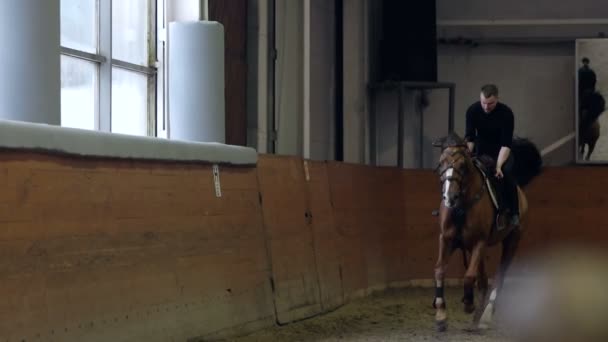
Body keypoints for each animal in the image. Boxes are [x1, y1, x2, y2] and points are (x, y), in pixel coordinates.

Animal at [432, 133, 540, 332]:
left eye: (462, 165)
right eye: (441, 162)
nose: (449, 197)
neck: (461, 205)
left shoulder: (479, 242)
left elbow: (468, 276)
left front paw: (468, 304)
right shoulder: (447, 239)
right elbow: (440, 271)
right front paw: (441, 315)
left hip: (512, 241)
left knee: (499, 275)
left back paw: (486, 315)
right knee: (482, 280)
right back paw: (476, 319)